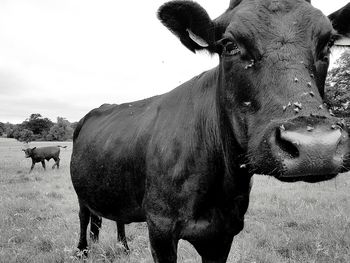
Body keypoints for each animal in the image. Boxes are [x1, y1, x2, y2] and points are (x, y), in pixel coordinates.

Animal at [70, 1, 350, 262]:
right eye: (229, 44)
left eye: (327, 44)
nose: (317, 147)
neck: (218, 190)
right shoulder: (160, 227)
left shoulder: (223, 235)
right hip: (81, 192)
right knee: (85, 217)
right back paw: (83, 251)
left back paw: (123, 248)